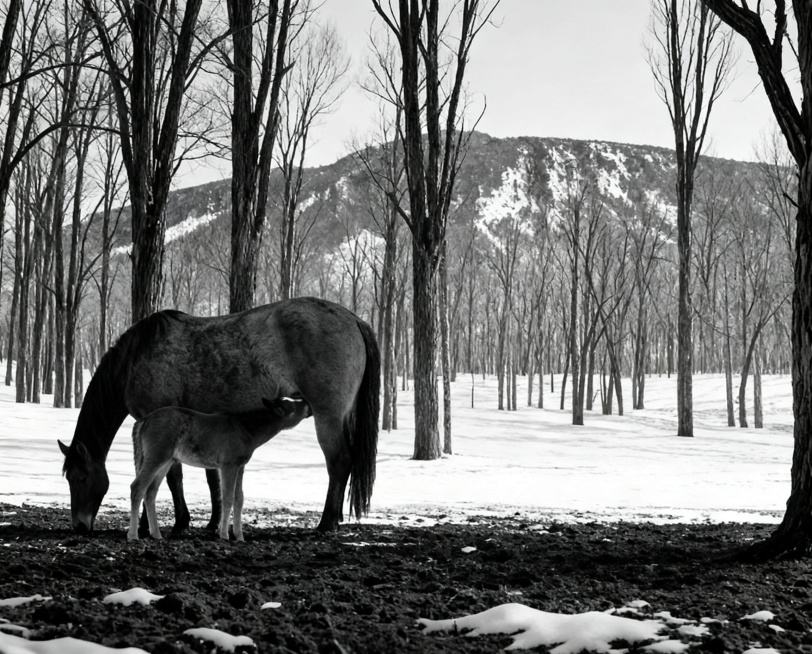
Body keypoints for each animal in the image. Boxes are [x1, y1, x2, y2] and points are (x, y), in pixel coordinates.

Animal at [130, 397, 312, 541]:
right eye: (293, 408)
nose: (306, 402)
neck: (247, 430)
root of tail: (143, 420)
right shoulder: (228, 464)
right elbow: (228, 497)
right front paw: (224, 535)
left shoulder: (240, 465)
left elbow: (239, 498)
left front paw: (239, 536)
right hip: (157, 455)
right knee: (137, 486)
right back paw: (133, 535)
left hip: (167, 460)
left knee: (150, 491)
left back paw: (156, 534)